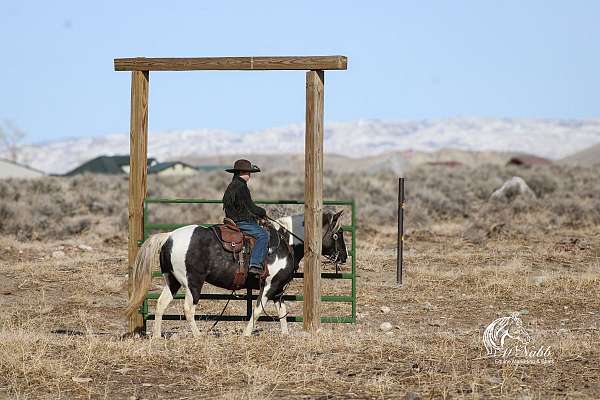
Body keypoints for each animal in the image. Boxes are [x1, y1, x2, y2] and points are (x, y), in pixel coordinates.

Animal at [124, 211, 346, 336]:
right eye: (339, 233)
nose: (344, 257)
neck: (285, 243)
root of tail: (169, 237)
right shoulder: (269, 286)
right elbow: (258, 309)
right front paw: (246, 334)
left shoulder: (278, 289)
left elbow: (282, 312)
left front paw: (285, 336)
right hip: (193, 283)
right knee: (188, 308)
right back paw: (198, 336)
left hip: (172, 281)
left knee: (161, 305)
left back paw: (157, 336)